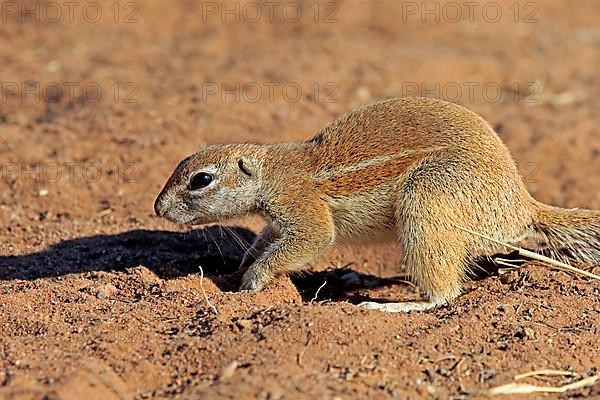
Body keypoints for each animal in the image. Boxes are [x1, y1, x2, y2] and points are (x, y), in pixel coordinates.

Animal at [155, 97, 600, 312]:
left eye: (201, 179)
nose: (158, 209)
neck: (269, 171)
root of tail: (522, 204)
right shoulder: (277, 220)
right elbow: (263, 240)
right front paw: (237, 269)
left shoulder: (302, 206)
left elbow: (311, 239)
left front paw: (253, 281)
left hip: (427, 195)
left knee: (445, 294)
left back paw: (392, 306)